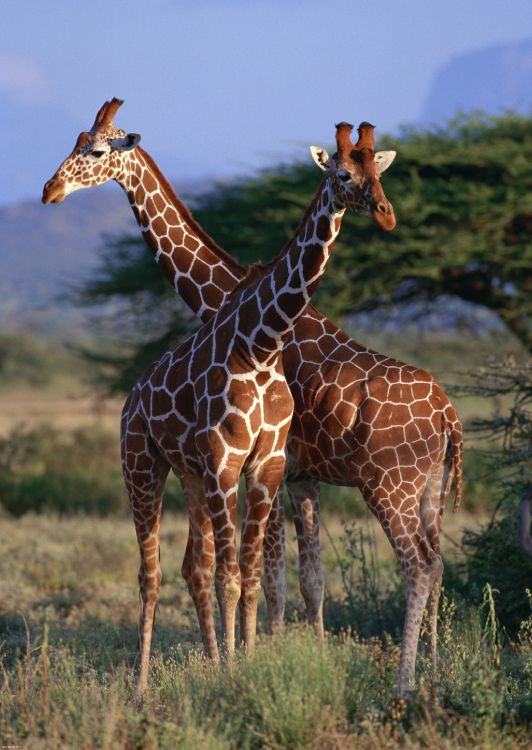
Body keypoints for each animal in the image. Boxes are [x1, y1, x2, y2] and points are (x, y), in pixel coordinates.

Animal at [42, 99, 462, 694]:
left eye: (96, 151)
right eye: (77, 143)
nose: (51, 189)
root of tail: (450, 415)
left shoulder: (279, 468)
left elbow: (273, 578)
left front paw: (266, 659)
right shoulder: (292, 474)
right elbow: (299, 581)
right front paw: (287, 658)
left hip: (390, 484)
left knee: (418, 566)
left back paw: (405, 682)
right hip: (428, 489)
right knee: (438, 564)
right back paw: (432, 671)